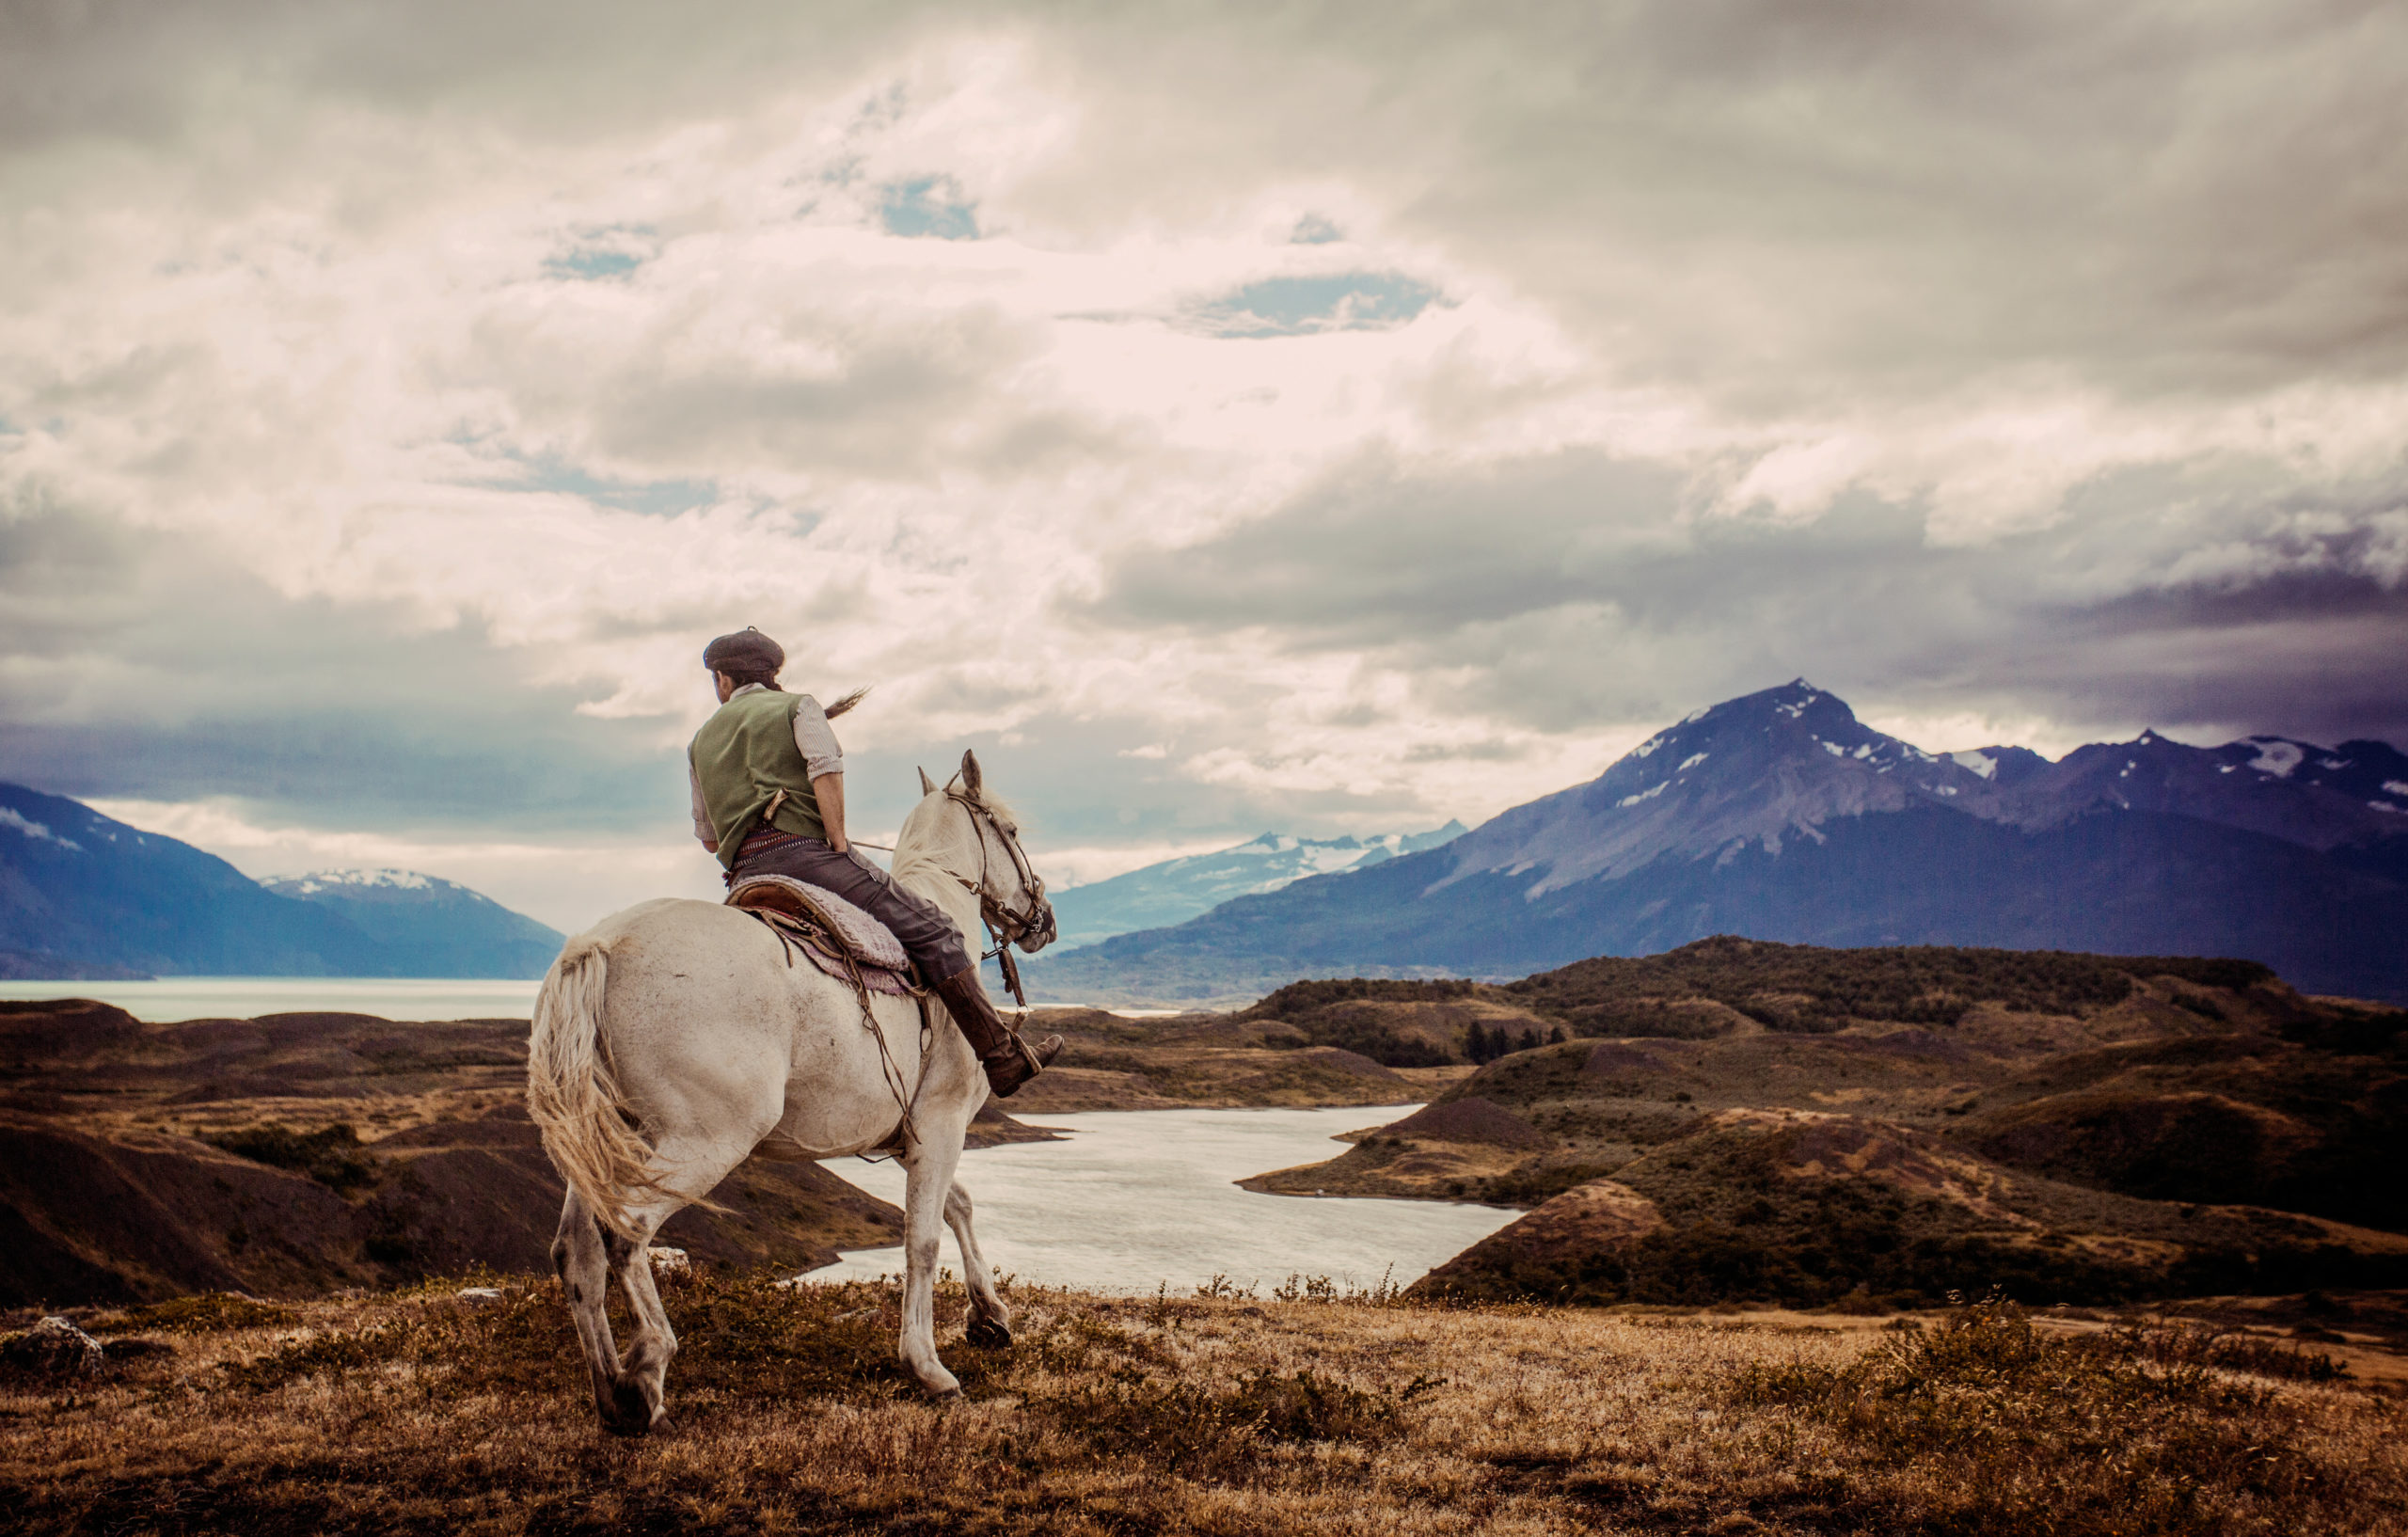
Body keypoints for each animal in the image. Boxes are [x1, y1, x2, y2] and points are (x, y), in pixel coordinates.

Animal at [527, 752, 1054, 1435]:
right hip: (705, 1141)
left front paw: (990, 1314)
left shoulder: (910, 1135)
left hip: (606, 1142)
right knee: (628, 1231)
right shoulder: (941, 1125)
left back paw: (612, 1396)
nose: (1044, 920)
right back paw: (646, 1374)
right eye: (1011, 831)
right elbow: (922, 1238)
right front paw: (928, 1366)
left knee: (577, 1252)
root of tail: (601, 946)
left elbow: (956, 1205)